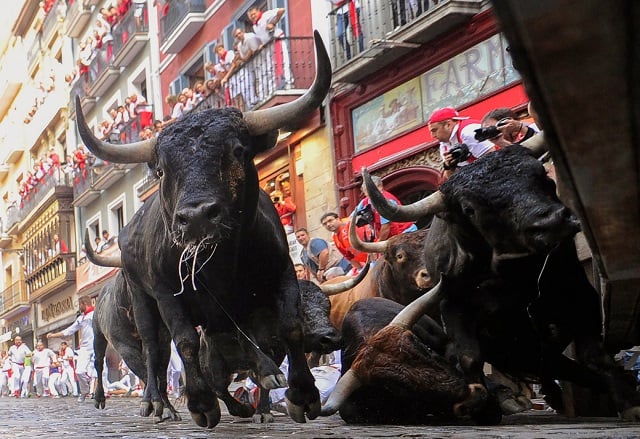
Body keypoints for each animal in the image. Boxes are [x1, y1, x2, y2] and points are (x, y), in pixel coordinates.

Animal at [76, 31, 330, 430]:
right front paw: (201, 402)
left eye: (239, 150)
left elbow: (288, 327)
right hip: (140, 304)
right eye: (161, 169)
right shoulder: (167, 294)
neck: (223, 262)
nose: (196, 216)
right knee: (152, 353)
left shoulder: (279, 275)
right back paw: (157, 403)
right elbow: (185, 343)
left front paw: (301, 394)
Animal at [364, 146, 640, 424]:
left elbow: (593, 353)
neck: (514, 275)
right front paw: (485, 408)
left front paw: (629, 403)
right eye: (469, 208)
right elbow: (469, 356)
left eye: (543, 176)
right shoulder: (454, 307)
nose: (551, 223)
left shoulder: (577, 290)